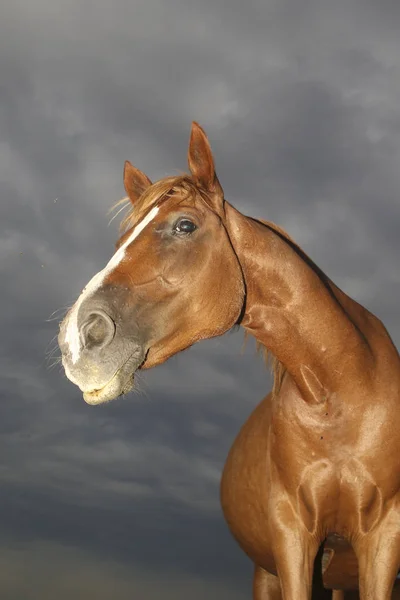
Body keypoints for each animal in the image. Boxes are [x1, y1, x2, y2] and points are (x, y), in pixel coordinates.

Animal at [58, 123, 400, 600]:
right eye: (119, 243)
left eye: (184, 225)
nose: (75, 339)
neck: (342, 392)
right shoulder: (293, 539)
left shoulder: (383, 538)